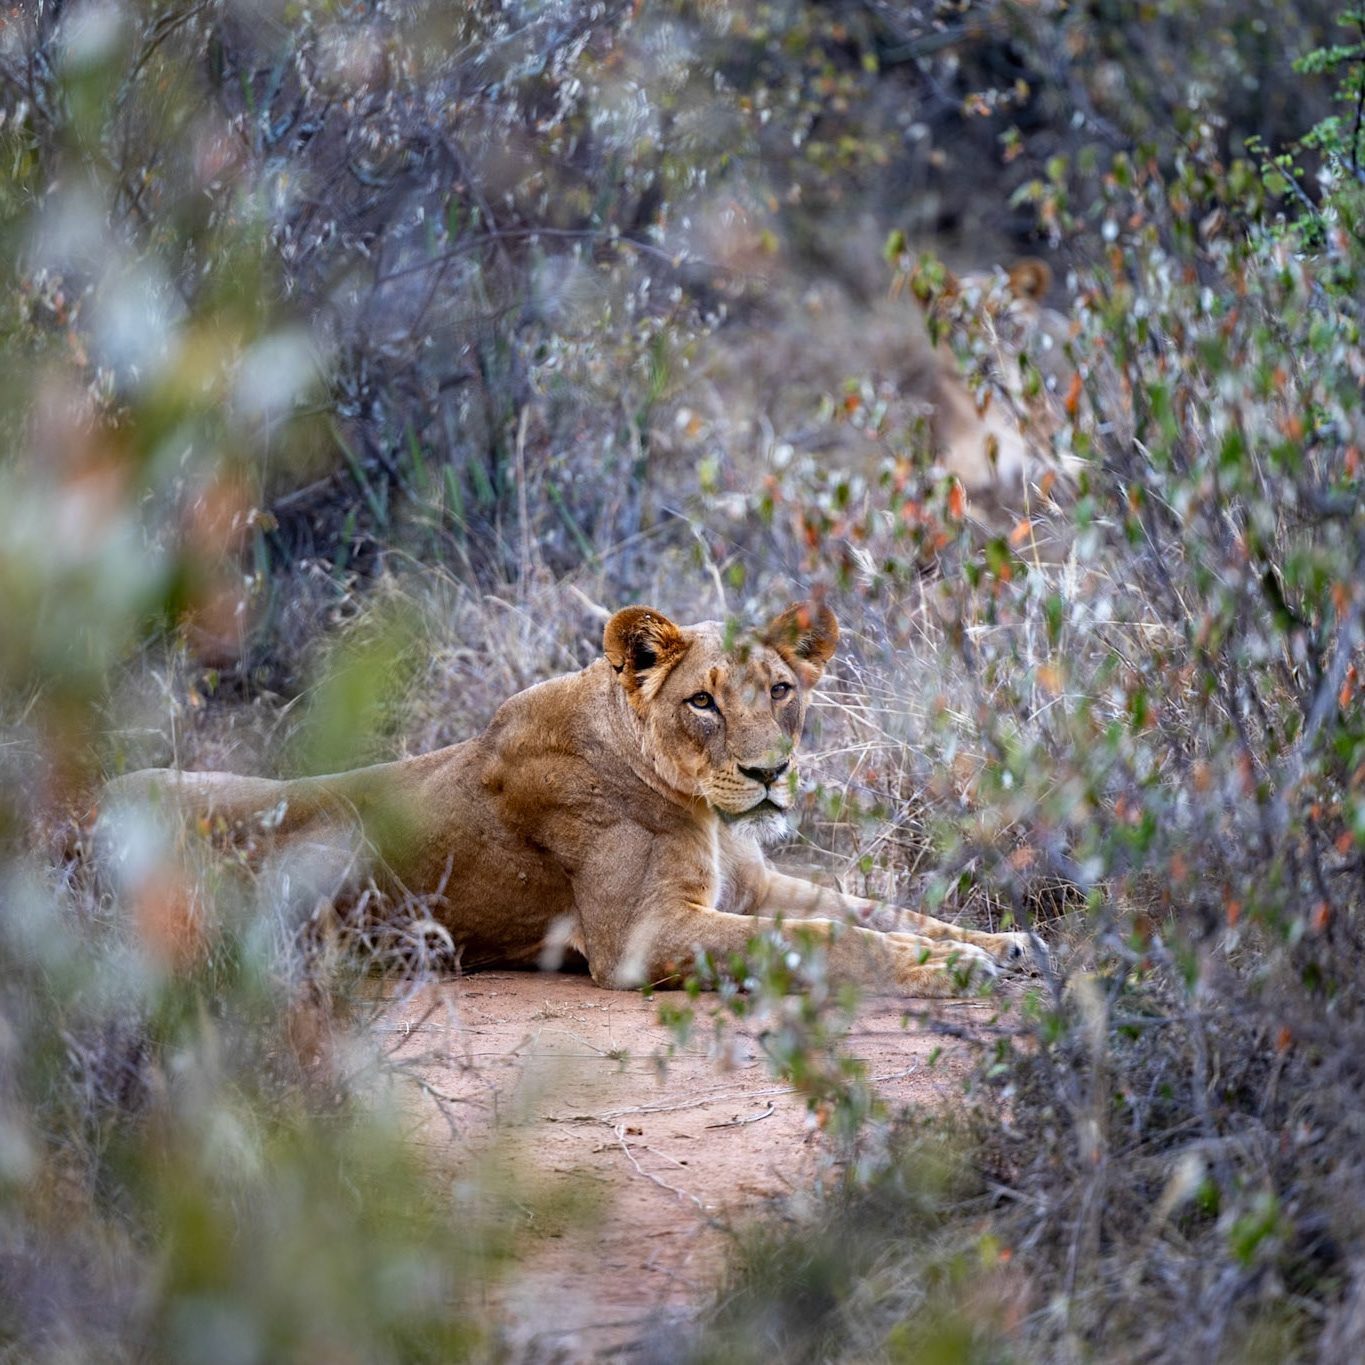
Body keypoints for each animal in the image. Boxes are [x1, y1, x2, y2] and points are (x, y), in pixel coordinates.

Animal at [103, 602, 1037, 996]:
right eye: (703, 701)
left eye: (779, 689)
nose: (769, 773)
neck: (703, 809)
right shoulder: (641, 935)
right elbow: (822, 943)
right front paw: (957, 969)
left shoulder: (755, 885)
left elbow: (877, 913)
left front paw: (1006, 943)